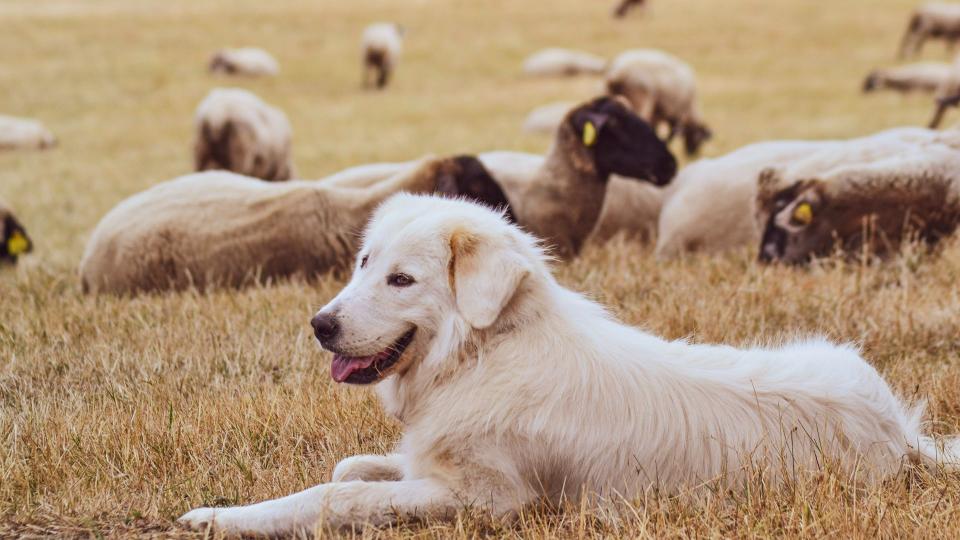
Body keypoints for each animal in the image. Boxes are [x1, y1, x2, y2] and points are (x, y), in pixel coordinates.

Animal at [180, 194, 960, 536]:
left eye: (402, 280)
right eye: (364, 263)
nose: (320, 326)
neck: (485, 351)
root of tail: (900, 433)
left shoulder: (486, 500)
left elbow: (330, 495)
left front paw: (222, 516)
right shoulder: (432, 463)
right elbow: (352, 469)